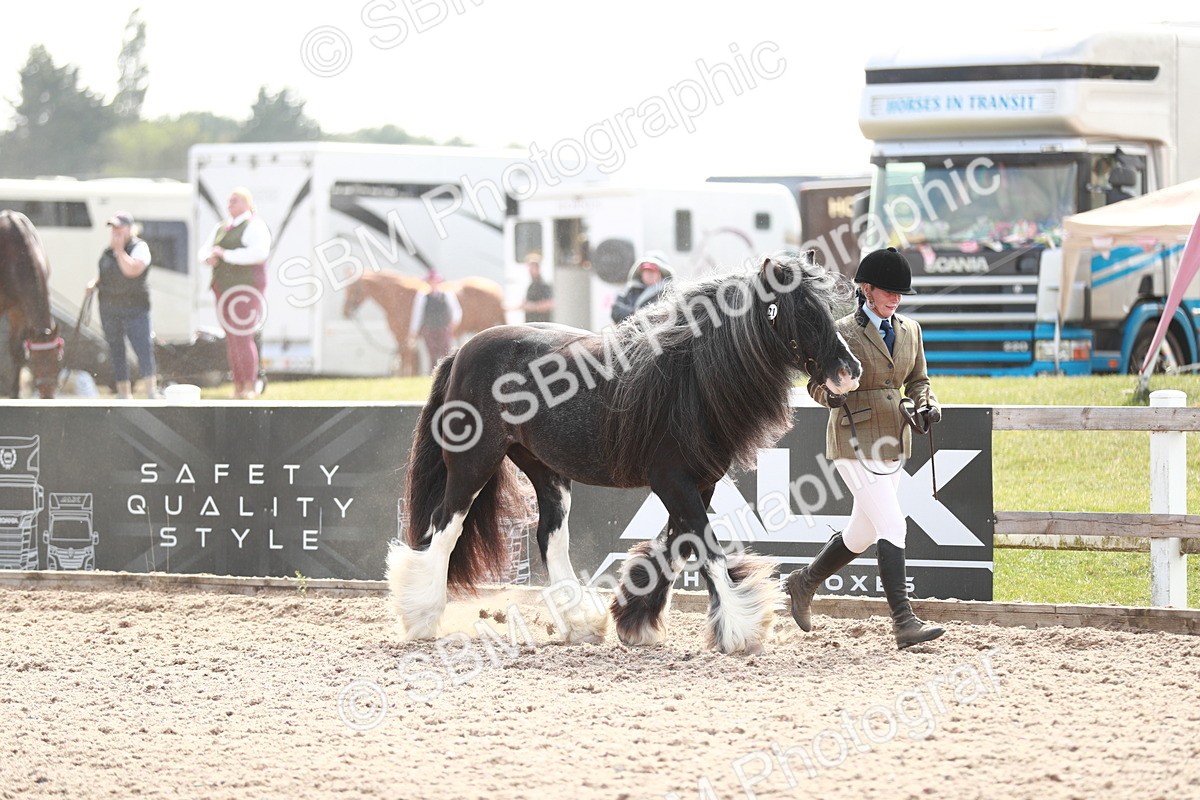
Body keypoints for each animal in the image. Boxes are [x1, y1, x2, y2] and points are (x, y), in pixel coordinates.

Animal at [0, 210, 61, 398]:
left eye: (57, 359)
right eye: (34, 361)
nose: (47, 392)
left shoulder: (19, 311)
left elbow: (16, 350)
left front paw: (15, 394)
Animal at [342, 271, 506, 376]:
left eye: (353, 288)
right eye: (346, 288)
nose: (345, 311)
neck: (397, 296)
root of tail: (497, 289)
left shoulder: (403, 334)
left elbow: (406, 355)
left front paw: (405, 376)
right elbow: (404, 355)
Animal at [386, 251, 862, 655]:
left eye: (826, 310)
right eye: (801, 313)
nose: (850, 371)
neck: (690, 377)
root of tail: (460, 352)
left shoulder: (699, 485)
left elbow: (676, 549)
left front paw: (636, 619)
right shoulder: (673, 482)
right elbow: (707, 550)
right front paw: (740, 629)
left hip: (545, 471)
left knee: (549, 538)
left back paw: (579, 623)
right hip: (473, 464)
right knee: (444, 530)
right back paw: (421, 617)